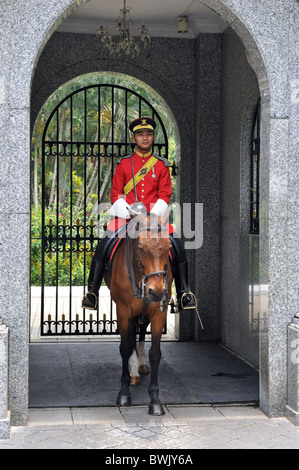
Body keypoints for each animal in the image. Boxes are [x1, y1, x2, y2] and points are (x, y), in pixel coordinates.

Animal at [105, 209, 172, 414]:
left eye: (168, 246)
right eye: (141, 247)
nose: (156, 291)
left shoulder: (159, 311)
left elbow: (155, 353)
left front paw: (155, 400)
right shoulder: (123, 311)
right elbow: (126, 347)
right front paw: (124, 393)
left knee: (140, 333)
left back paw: (140, 365)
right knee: (131, 339)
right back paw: (134, 372)